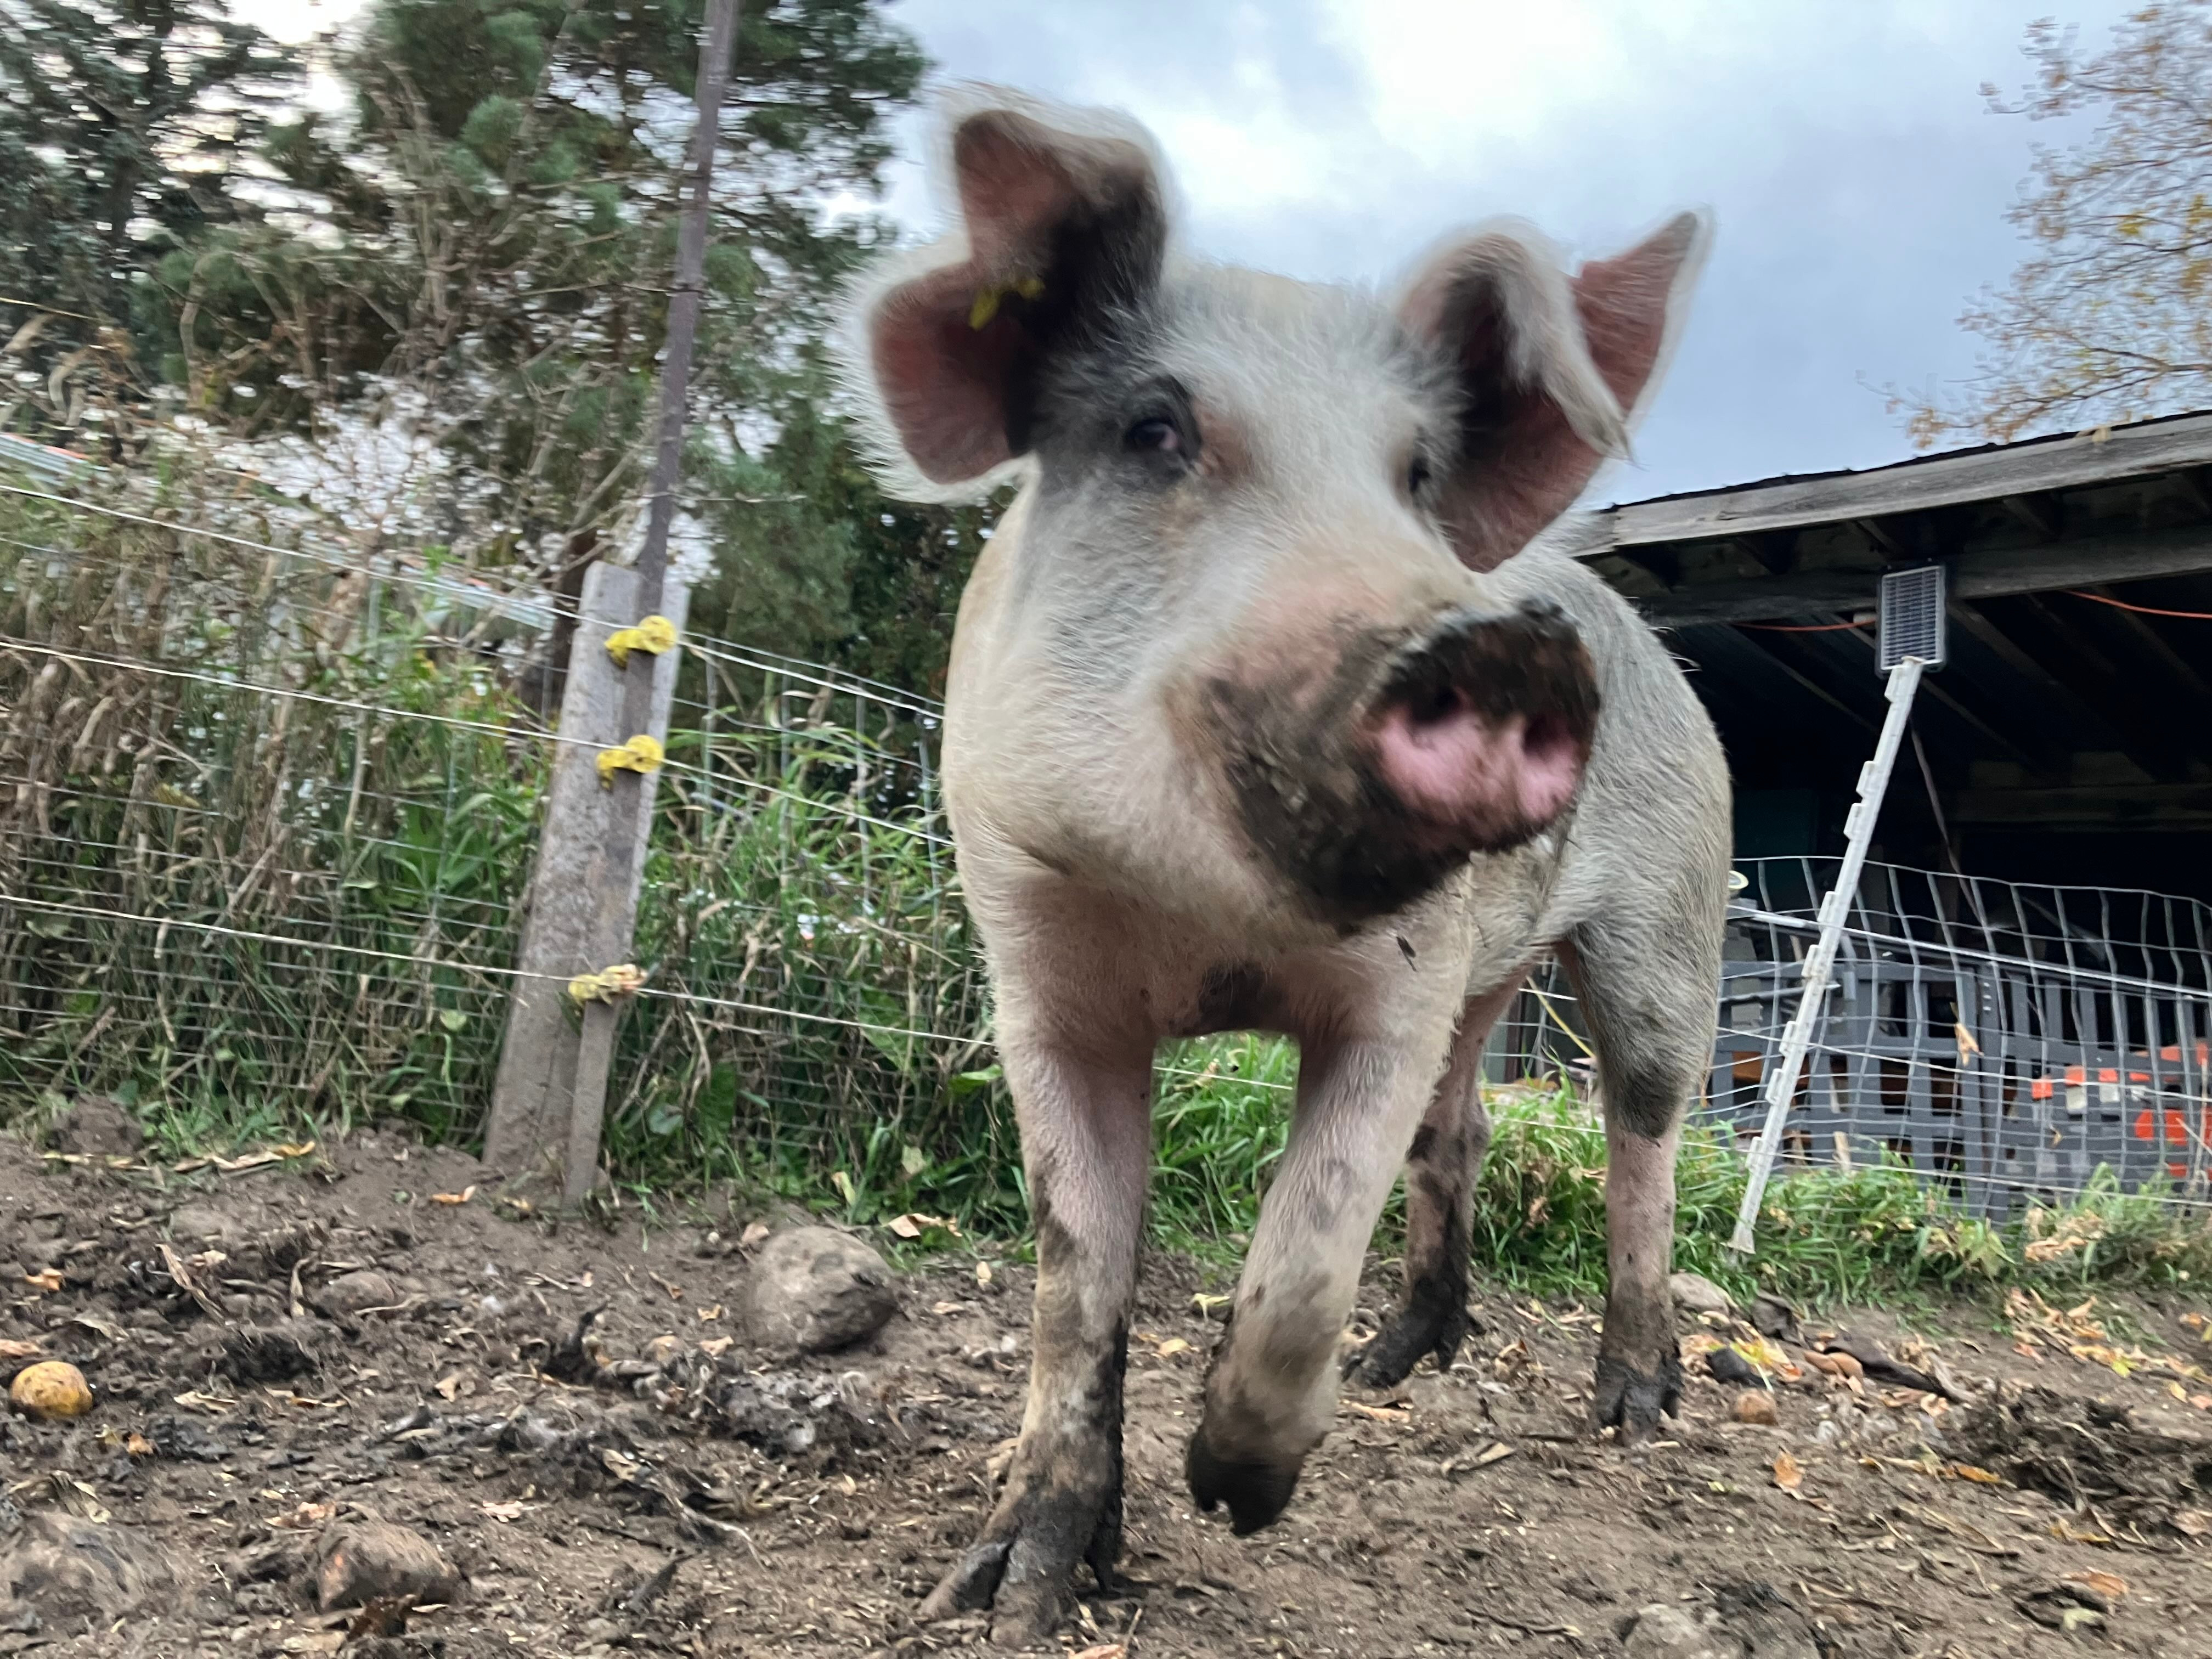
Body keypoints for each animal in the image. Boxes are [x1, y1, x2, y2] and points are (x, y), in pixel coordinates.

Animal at [836, 86, 1729, 1641]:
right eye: (1156, 429)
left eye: (1417, 476)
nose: (1503, 644)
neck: (1207, 930)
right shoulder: (1036, 976)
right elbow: (1074, 1285)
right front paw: (1010, 1596)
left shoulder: (1397, 990)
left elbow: (1306, 1254)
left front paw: (1236, 1495)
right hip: (1493, 984)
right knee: (1465, 1131)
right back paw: (1402, 1366)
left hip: (1669, 928)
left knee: (1646, 1142)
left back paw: (1630, 1410)